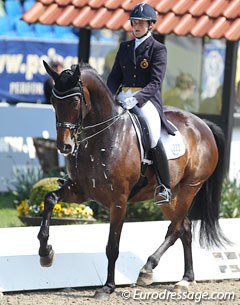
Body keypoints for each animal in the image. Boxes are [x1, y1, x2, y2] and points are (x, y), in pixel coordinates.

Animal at [38, 60, 228, 298]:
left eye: (74, 101)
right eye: (53, 101)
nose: (64, 146)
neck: (103, 137)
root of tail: (203, 124)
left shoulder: (118, 201)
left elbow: (112, 246)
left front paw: (108, 287)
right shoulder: (80, 190)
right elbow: (50, 199)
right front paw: (45, 252)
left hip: (189, 188)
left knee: (176, 228)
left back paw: (148, 269)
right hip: (169, 196)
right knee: (184, 227)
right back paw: (185, 279)